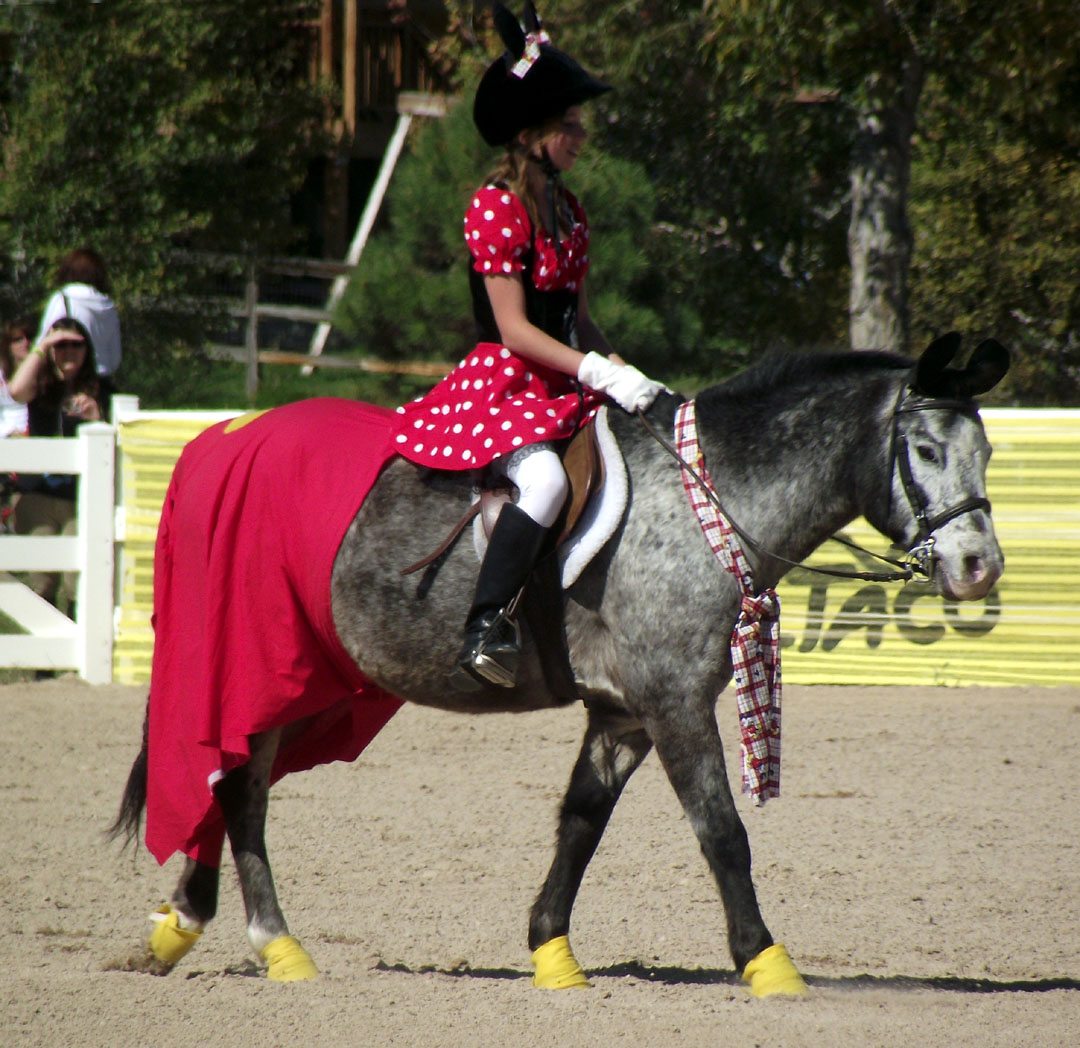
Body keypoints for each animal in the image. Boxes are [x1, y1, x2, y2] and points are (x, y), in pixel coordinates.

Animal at [112, 333, 1009, 995]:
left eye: (988, 452)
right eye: (924, 448)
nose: (979, 568)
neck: (705, 498)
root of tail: (225, 438)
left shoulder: (624, 712)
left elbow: (581, 823)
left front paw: (551, 952)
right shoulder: (675, 702)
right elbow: (722, 832)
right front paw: (767, 961)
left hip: (301, 675)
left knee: (232, 777)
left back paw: (181, 926)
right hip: (264, 658)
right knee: (239, 788)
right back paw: (275, 943)